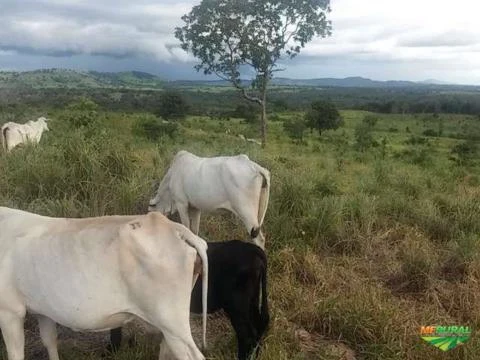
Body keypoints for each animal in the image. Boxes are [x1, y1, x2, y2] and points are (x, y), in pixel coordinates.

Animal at [0, 208, 208, 360]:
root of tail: (173, 227)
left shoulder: (9, 311)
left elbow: (16, 353)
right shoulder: (42, 310)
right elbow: (49, 341)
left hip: (172, 322)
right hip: (170, 328)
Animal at [107, 239, 270, 360]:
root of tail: (253, 249)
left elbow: (114, 330)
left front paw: (110, 352)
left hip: (237, 306)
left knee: (247, 335)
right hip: (252, 301)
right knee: (258, 328)